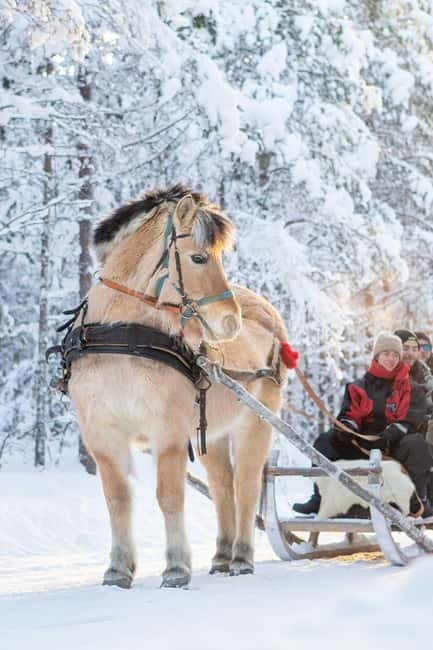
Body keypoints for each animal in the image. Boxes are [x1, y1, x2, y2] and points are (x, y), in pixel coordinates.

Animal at [67, 184, 290, 588]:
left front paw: (175, 569)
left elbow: (168, 496)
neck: (123, 336)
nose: (230, 322)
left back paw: (242, 558)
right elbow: (118, 499)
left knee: (246, 486)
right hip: (211, 434)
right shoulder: (101, 434)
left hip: (256, 424)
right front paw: (118, 570)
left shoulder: (167, 430)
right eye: (199, 258)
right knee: (222, 486)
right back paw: (222, 557)